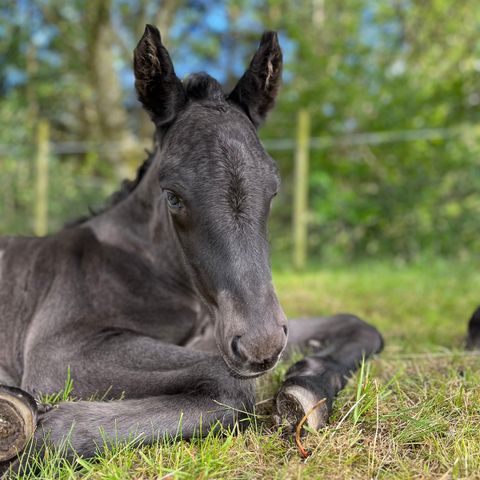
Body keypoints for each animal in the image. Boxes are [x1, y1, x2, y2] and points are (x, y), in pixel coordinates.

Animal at [0, 24, 382, 466]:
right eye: (173, 197)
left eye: (273, 188)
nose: (261, 345)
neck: (150, 266)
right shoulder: (60, 350)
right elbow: (229, 385)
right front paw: (36, 430)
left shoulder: (213, 332)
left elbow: (361, 326)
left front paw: (304, 389)